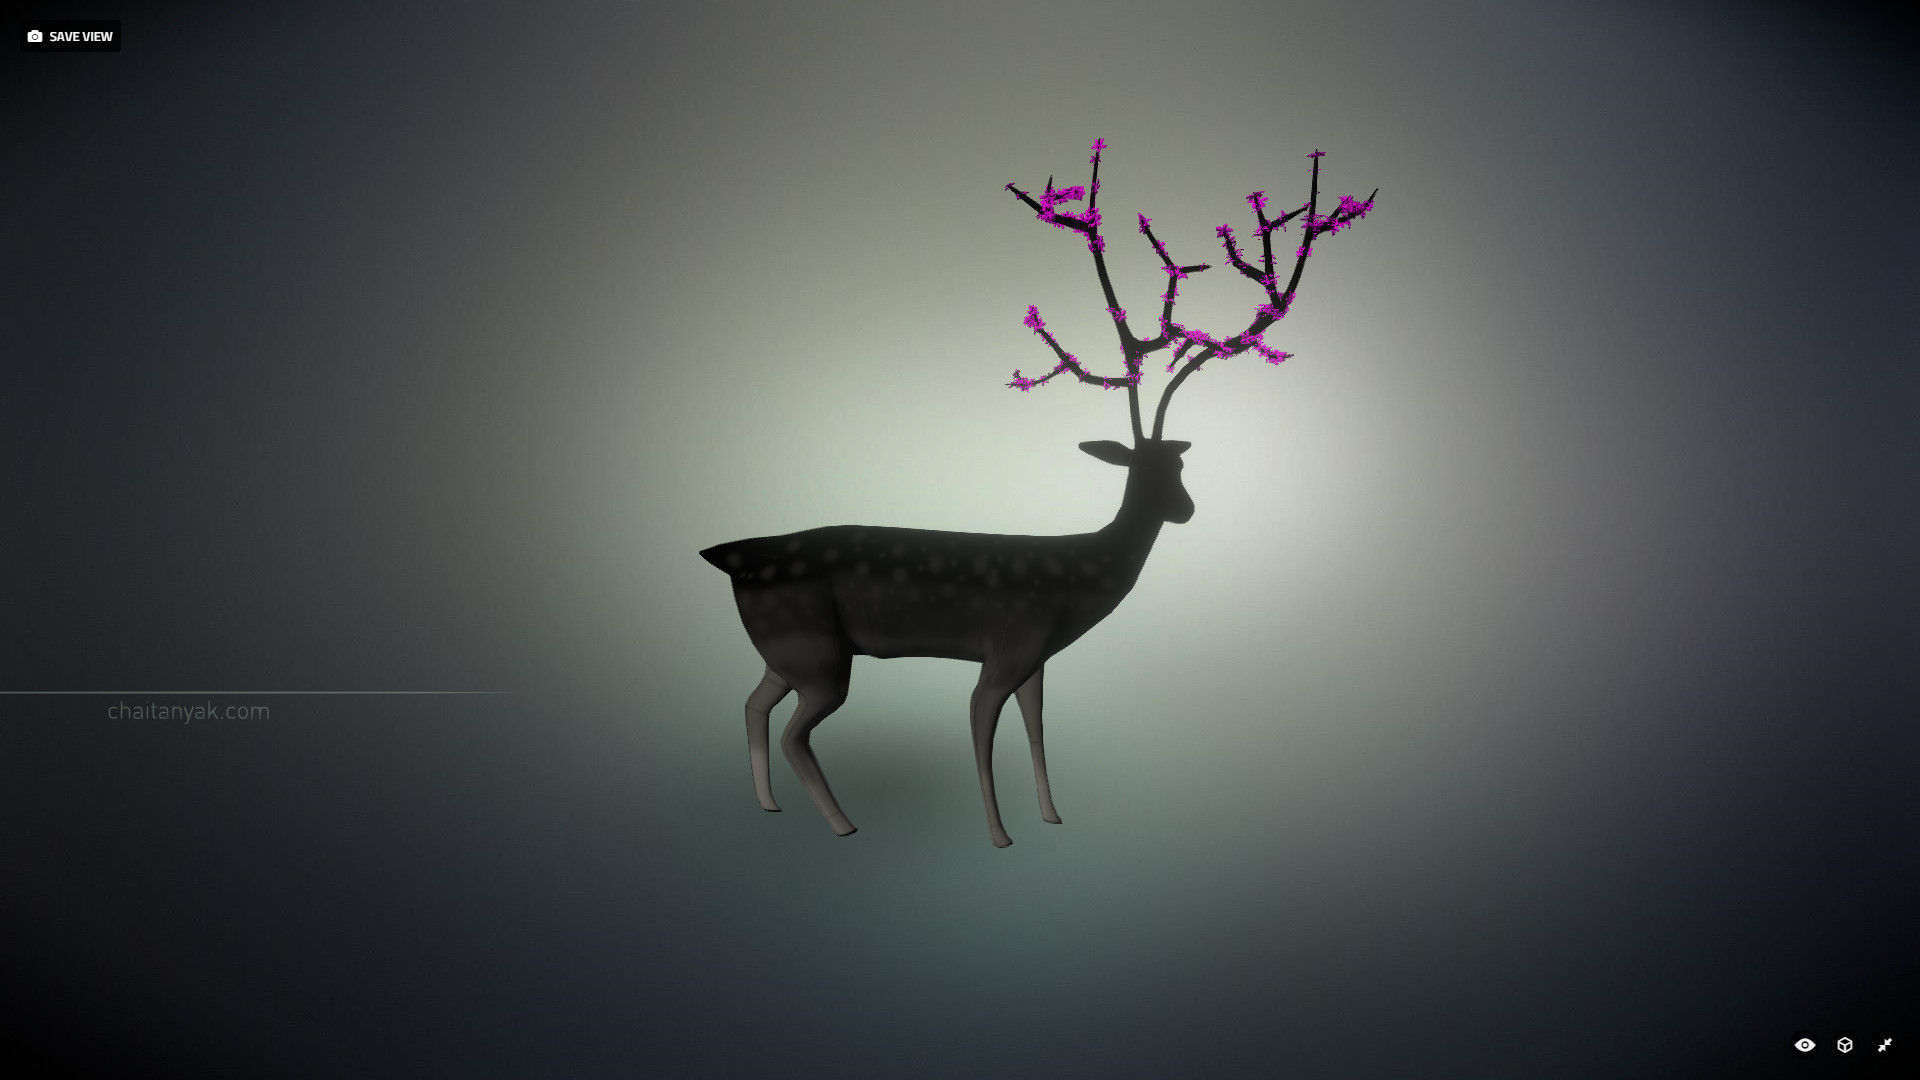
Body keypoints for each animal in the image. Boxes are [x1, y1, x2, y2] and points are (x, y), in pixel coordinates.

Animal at [699, 140, 1376, 847]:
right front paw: (1001, 835)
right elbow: (981, 727)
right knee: (794, 731)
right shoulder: (1011, 643)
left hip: (789, 649)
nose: (1187, 510)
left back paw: (770, 806)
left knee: (752, 706)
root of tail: (726, 556)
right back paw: (842, 823)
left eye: (1179, 467)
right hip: (817, 653)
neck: (1074, 583)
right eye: (1145, 471)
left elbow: (1037, 729)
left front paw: (1053, 814)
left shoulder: (1037, 662)